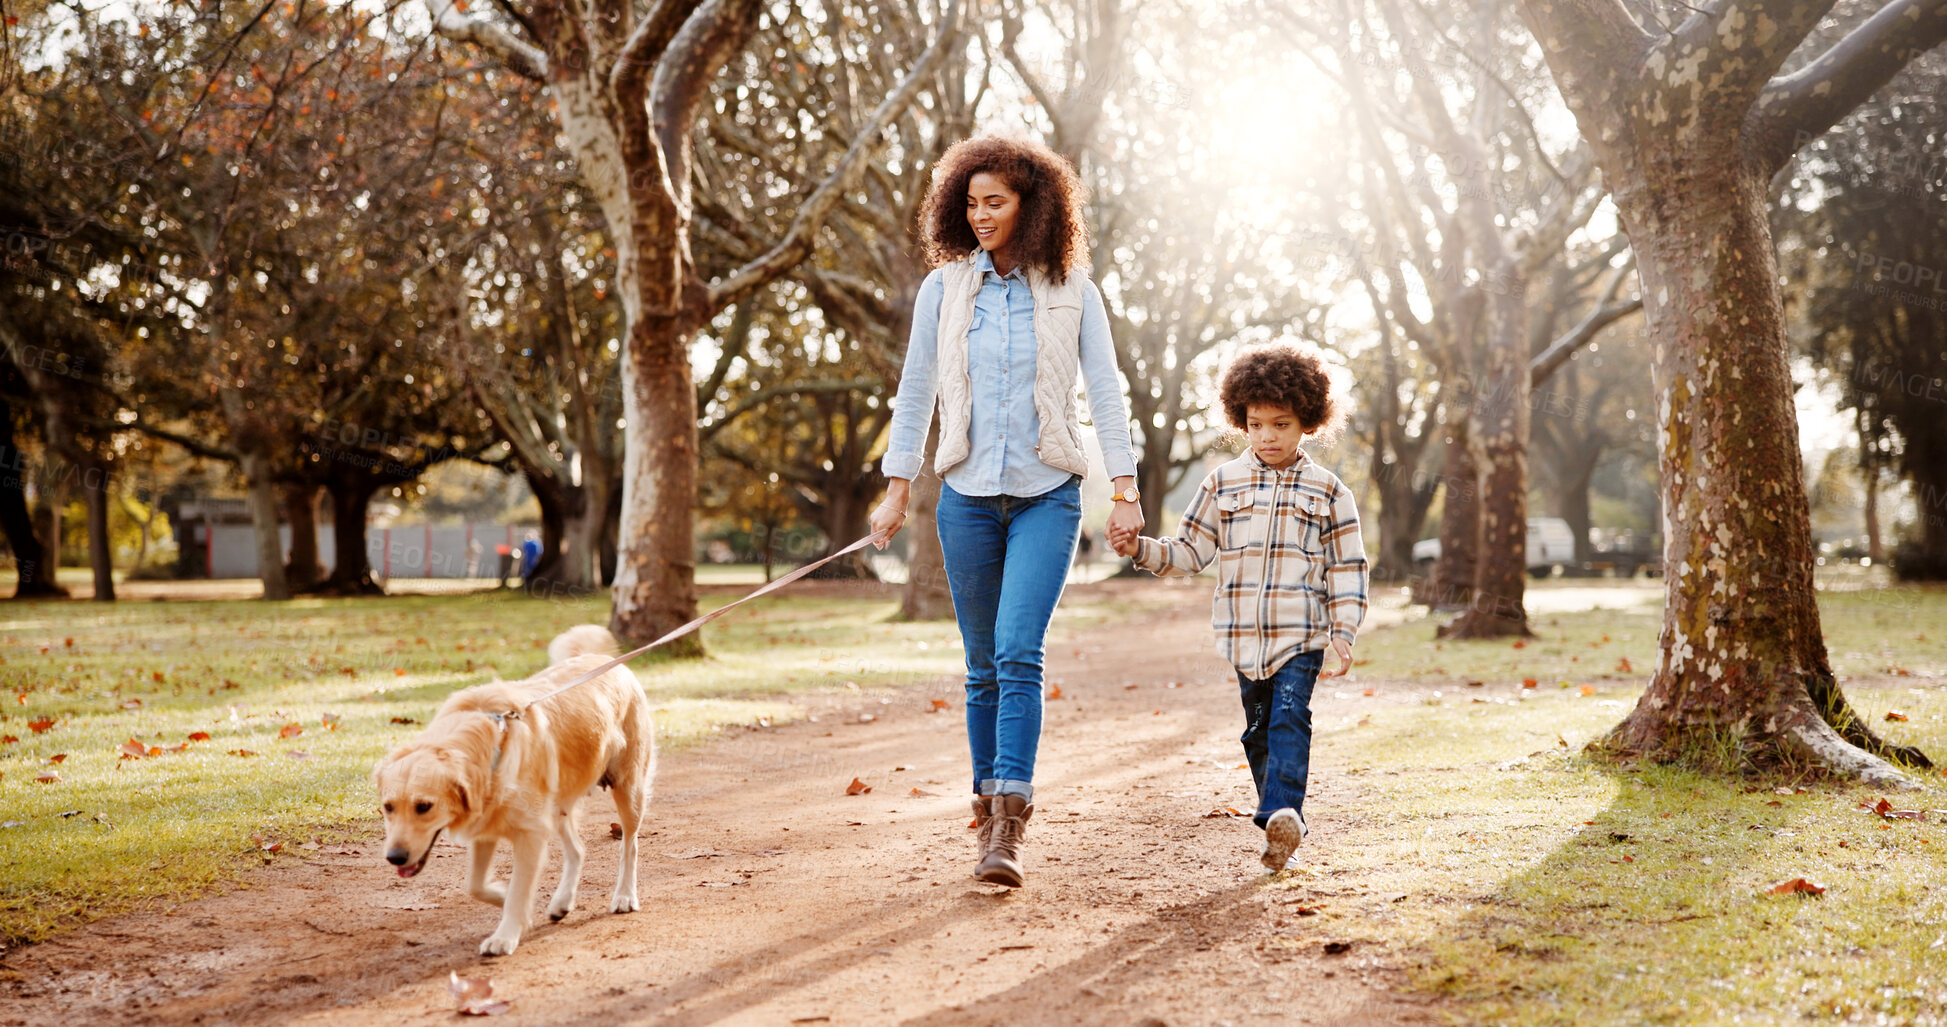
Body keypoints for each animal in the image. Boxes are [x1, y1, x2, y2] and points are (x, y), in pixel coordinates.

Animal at [371, 623, 654, 958]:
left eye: (424, 806)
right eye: (388, 807)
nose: (394, 857)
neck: (492, 743)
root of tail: (601, 659)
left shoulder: (530, 834)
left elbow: (519, 887)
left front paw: (505, 935)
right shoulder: (486, 829)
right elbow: (476, 885)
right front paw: (508, 901)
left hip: (628, 789)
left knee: (629, 845)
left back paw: (624, 896)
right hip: (557, 805)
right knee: (577, 849)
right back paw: (562, 901)